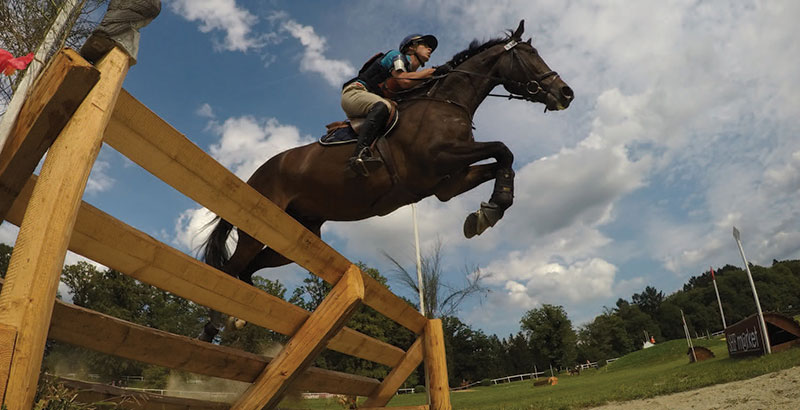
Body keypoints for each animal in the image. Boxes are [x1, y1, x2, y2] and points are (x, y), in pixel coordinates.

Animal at [200, 20, 576, 340]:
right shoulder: (439, 158)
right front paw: (491, 209)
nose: (566, 93)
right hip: (256, 229)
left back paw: (234, 318)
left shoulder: (447, 184)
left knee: (247, 268)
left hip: (294, 235)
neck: (446, 102)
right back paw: (214, 325)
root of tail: (255, 175)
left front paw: (488, 211)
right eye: (528, 56)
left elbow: (502, 161)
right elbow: (503, 148)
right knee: (231, 268)